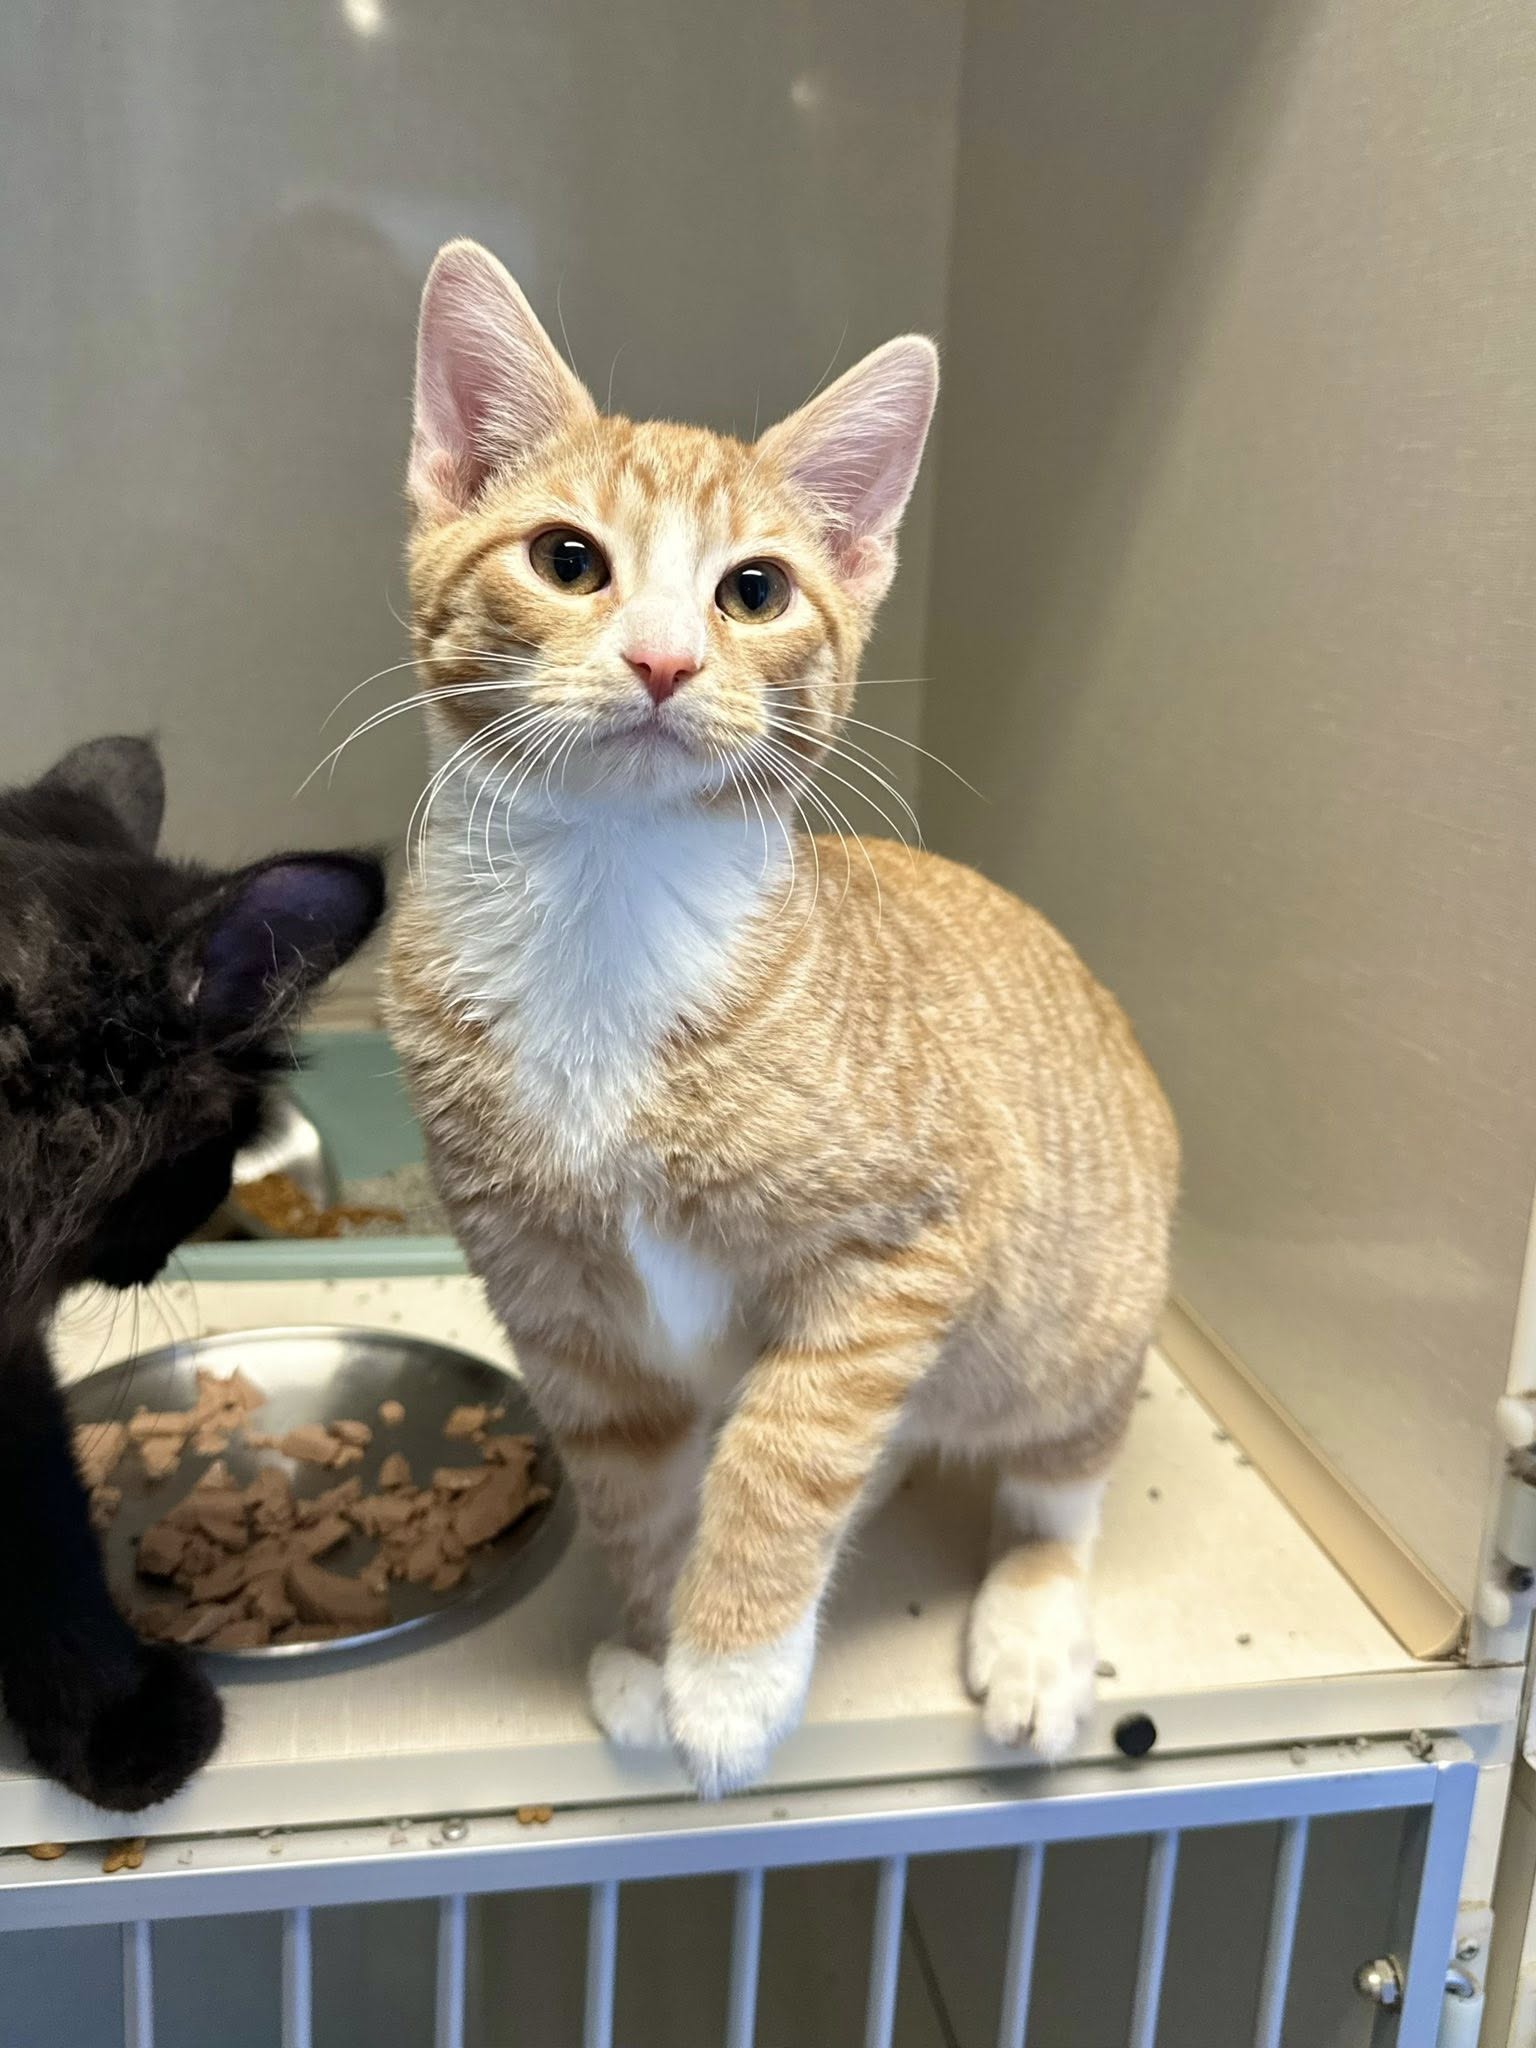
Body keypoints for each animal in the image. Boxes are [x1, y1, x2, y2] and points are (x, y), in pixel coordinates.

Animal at [384, 240, 1179, 1796]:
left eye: (753, 590)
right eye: (567, 560)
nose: (665, 661)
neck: (611, 908)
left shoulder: (912, 1241)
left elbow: (787, 1452)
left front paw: (734, 1673)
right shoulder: (563, 1313)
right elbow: (634, 1488)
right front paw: (658, 1646)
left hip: (1081, 1308)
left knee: (1056, 1482)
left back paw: (1035, 1622)